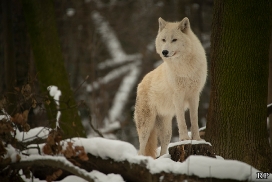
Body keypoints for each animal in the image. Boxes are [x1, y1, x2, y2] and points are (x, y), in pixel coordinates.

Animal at [133, 17, 206, 159]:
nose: (164, 52)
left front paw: (197, 139)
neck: (184, 68)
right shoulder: (178, 96)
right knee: (141, 149)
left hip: (166, 129)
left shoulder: (194, 95)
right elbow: (182, 121)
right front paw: (184, 139)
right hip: (146, 126)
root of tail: (141, 82)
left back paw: (163, 158)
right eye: (163, 40)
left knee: (163, 147)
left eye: (174, 40)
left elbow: (194, 120)